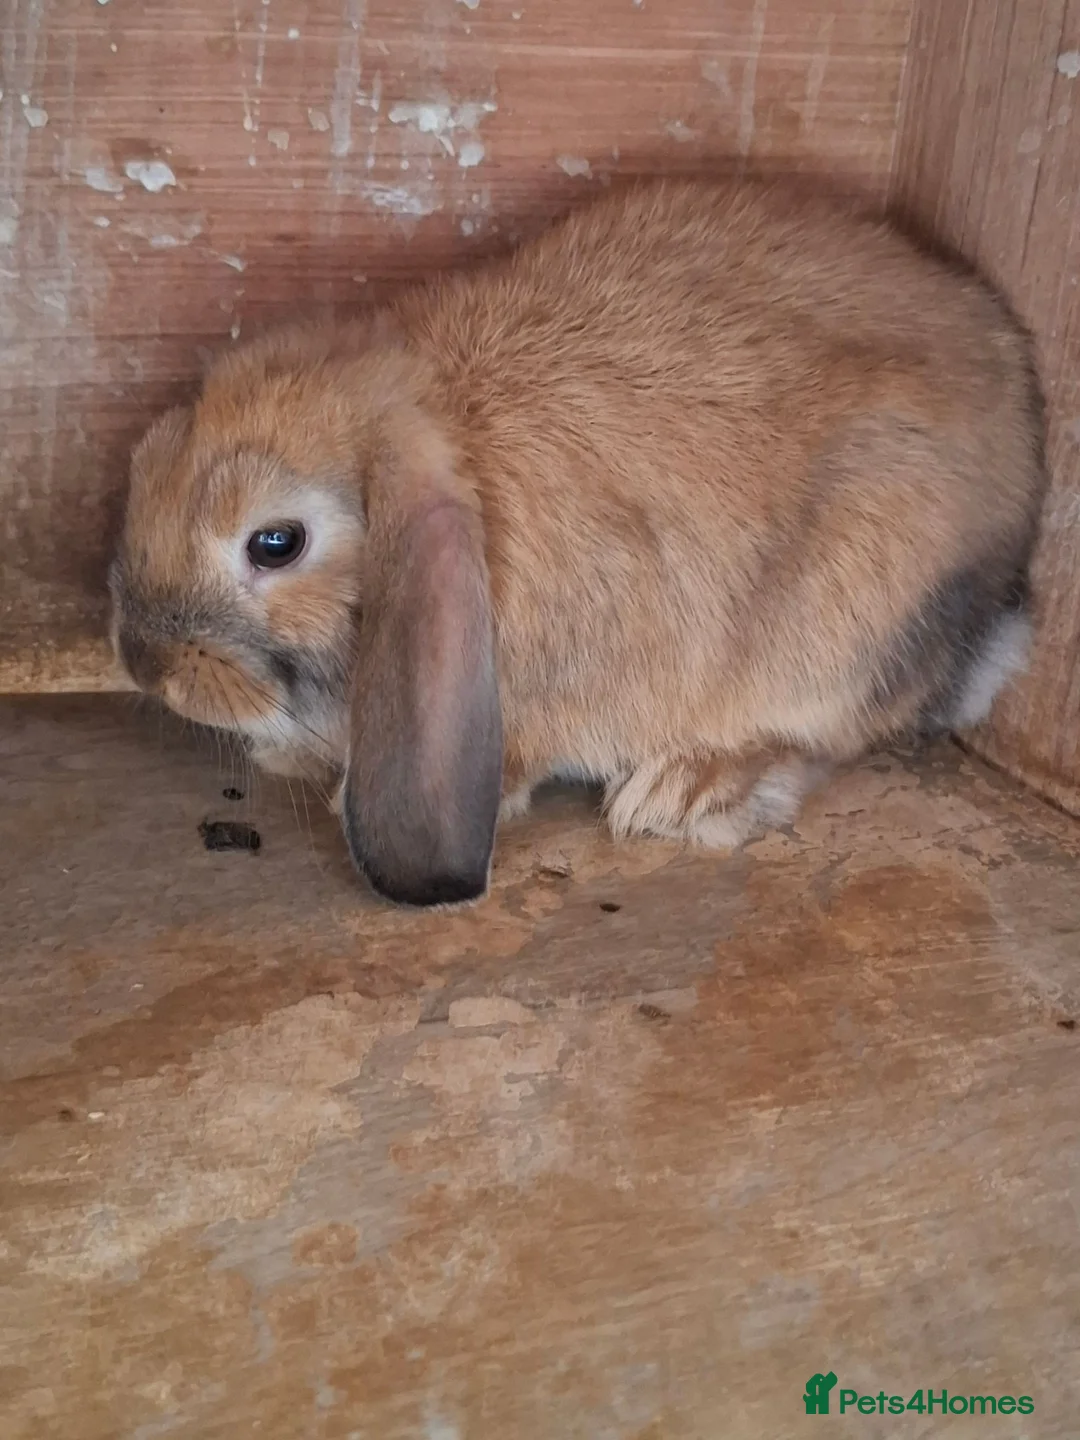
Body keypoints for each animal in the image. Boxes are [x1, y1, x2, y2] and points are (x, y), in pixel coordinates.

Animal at [110, 176, 1048, 907]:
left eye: (275, 543)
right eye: (148, 454)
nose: (142, 663)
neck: (448, 427)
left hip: (843, 625)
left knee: (830, 737)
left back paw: (682, 791)